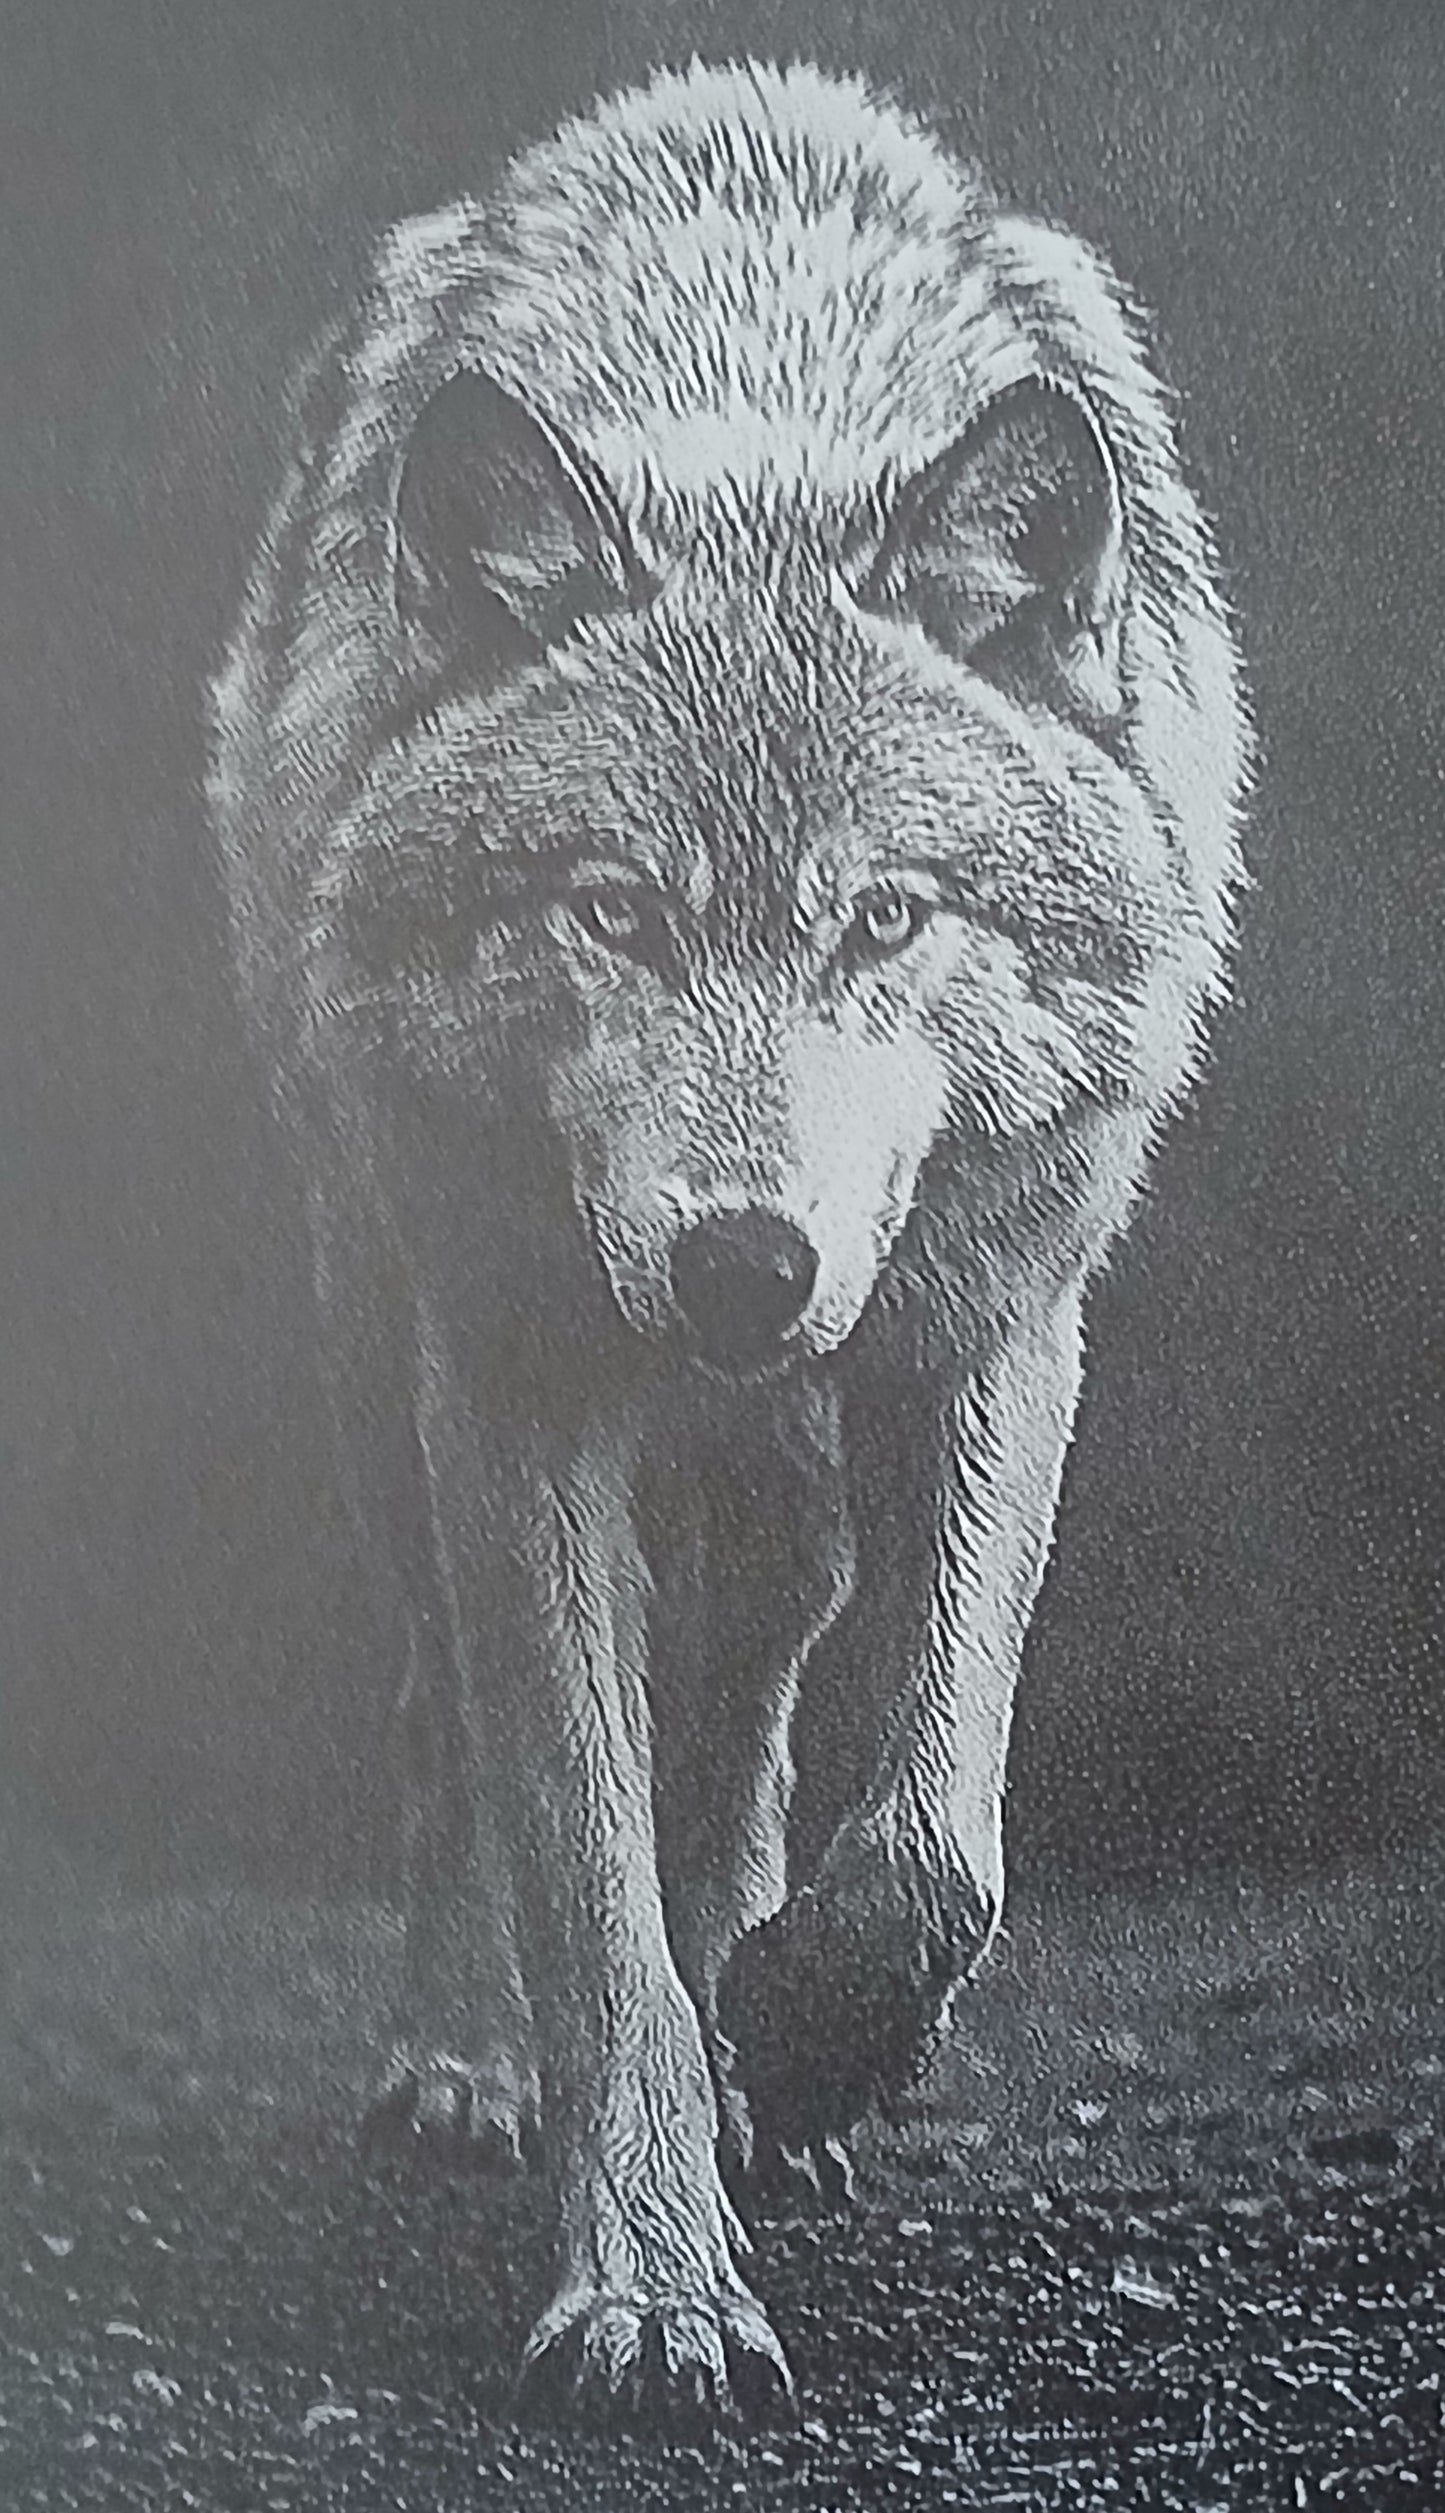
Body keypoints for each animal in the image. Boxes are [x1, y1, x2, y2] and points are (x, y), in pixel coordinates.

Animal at [209, 59, 1249, 2419]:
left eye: (882, 915)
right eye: (613, 909)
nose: (741, 1266)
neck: (760, 386)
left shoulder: (995, 1328)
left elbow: (930, 1843)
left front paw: (805, 2032)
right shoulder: (511, 1395)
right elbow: (584, 1892)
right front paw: (651, 2287)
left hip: (793, 1460)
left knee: (759, 1681)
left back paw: (766, 2027)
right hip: (373, 1351)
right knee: (447, 1721)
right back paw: (464, 2057)